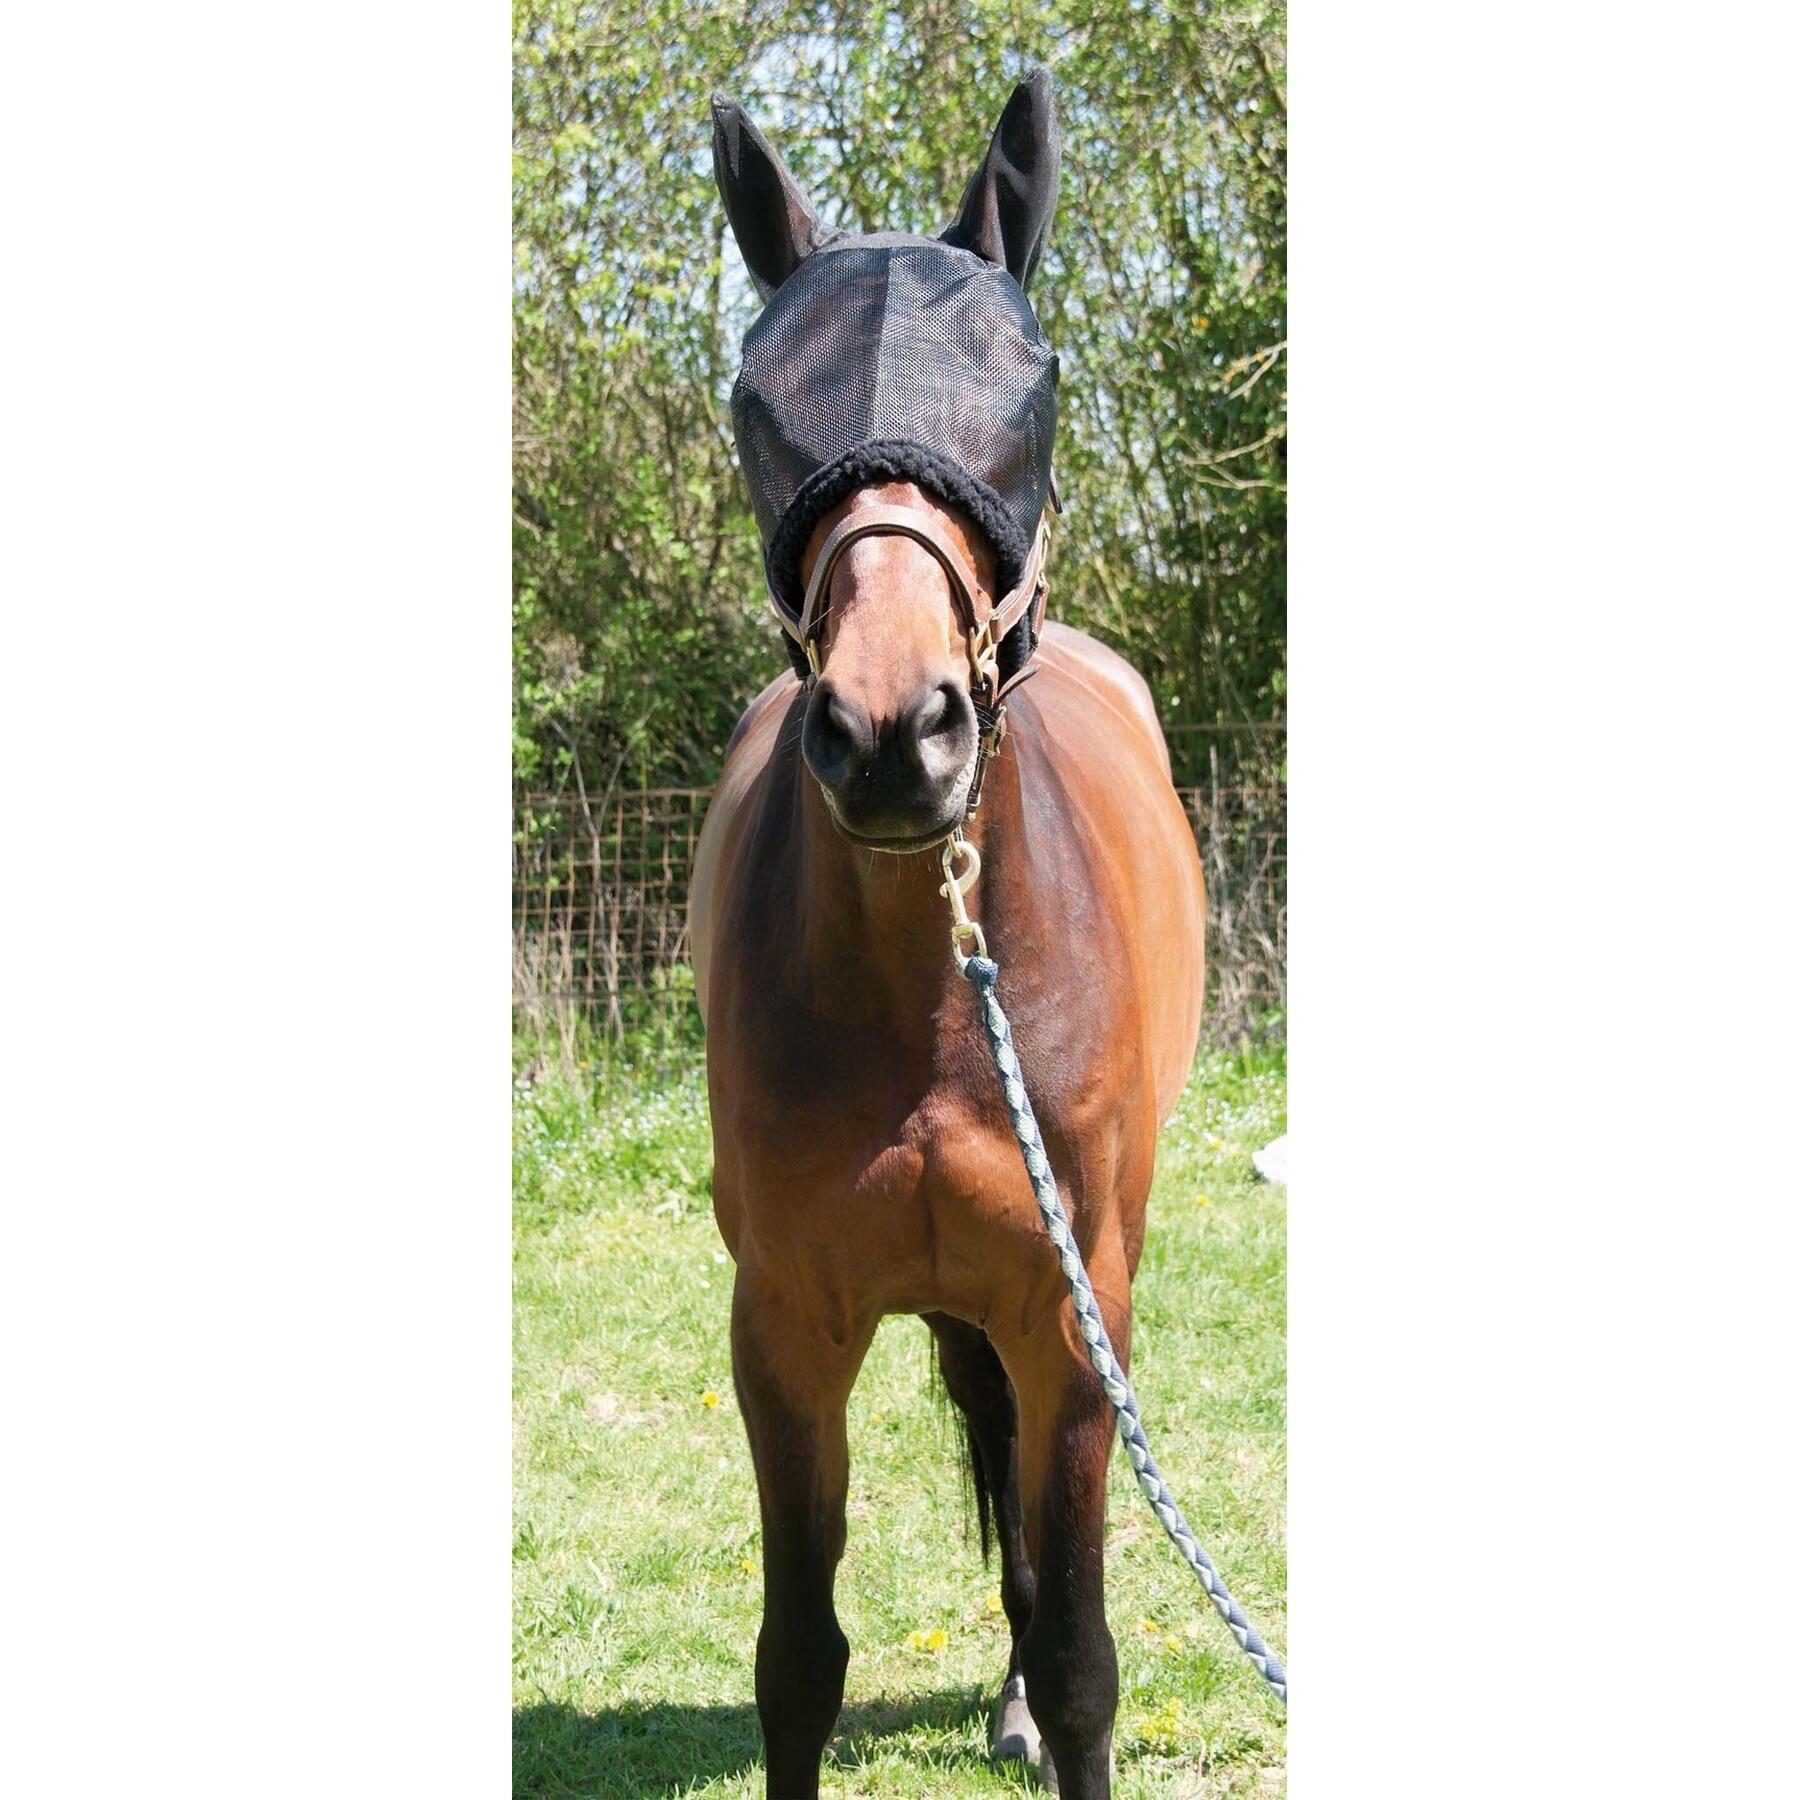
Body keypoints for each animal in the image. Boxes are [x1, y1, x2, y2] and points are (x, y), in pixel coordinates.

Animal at [689, 73, 1206, 1800]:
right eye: (759, 395)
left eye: (1032, 383)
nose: (892, 733)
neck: (929, 994)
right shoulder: (785, 1331)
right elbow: (797, 1663)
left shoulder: (1071, 1316)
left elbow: (1088, 1650)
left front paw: (1051, 1703)